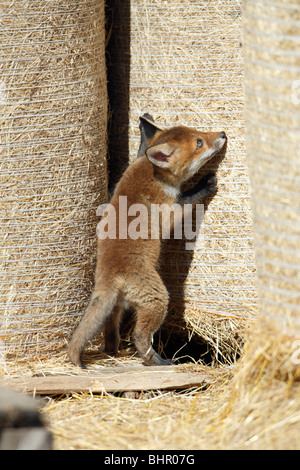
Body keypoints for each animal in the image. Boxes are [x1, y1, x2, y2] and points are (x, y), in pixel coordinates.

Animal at [68, 114, 226, 368]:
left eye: (198, 132)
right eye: (199, 143)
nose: (222, 133)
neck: (150, 172)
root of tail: (109, 275)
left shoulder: (136, 161)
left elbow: (143, 148)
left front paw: (146, 122)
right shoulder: (170, 212)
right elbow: (188, 199)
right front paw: (205, 185)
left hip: (116, 308)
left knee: (110, 330)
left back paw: (113, 351)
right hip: (158, 299)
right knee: (139, 336)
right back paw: (158, 361)